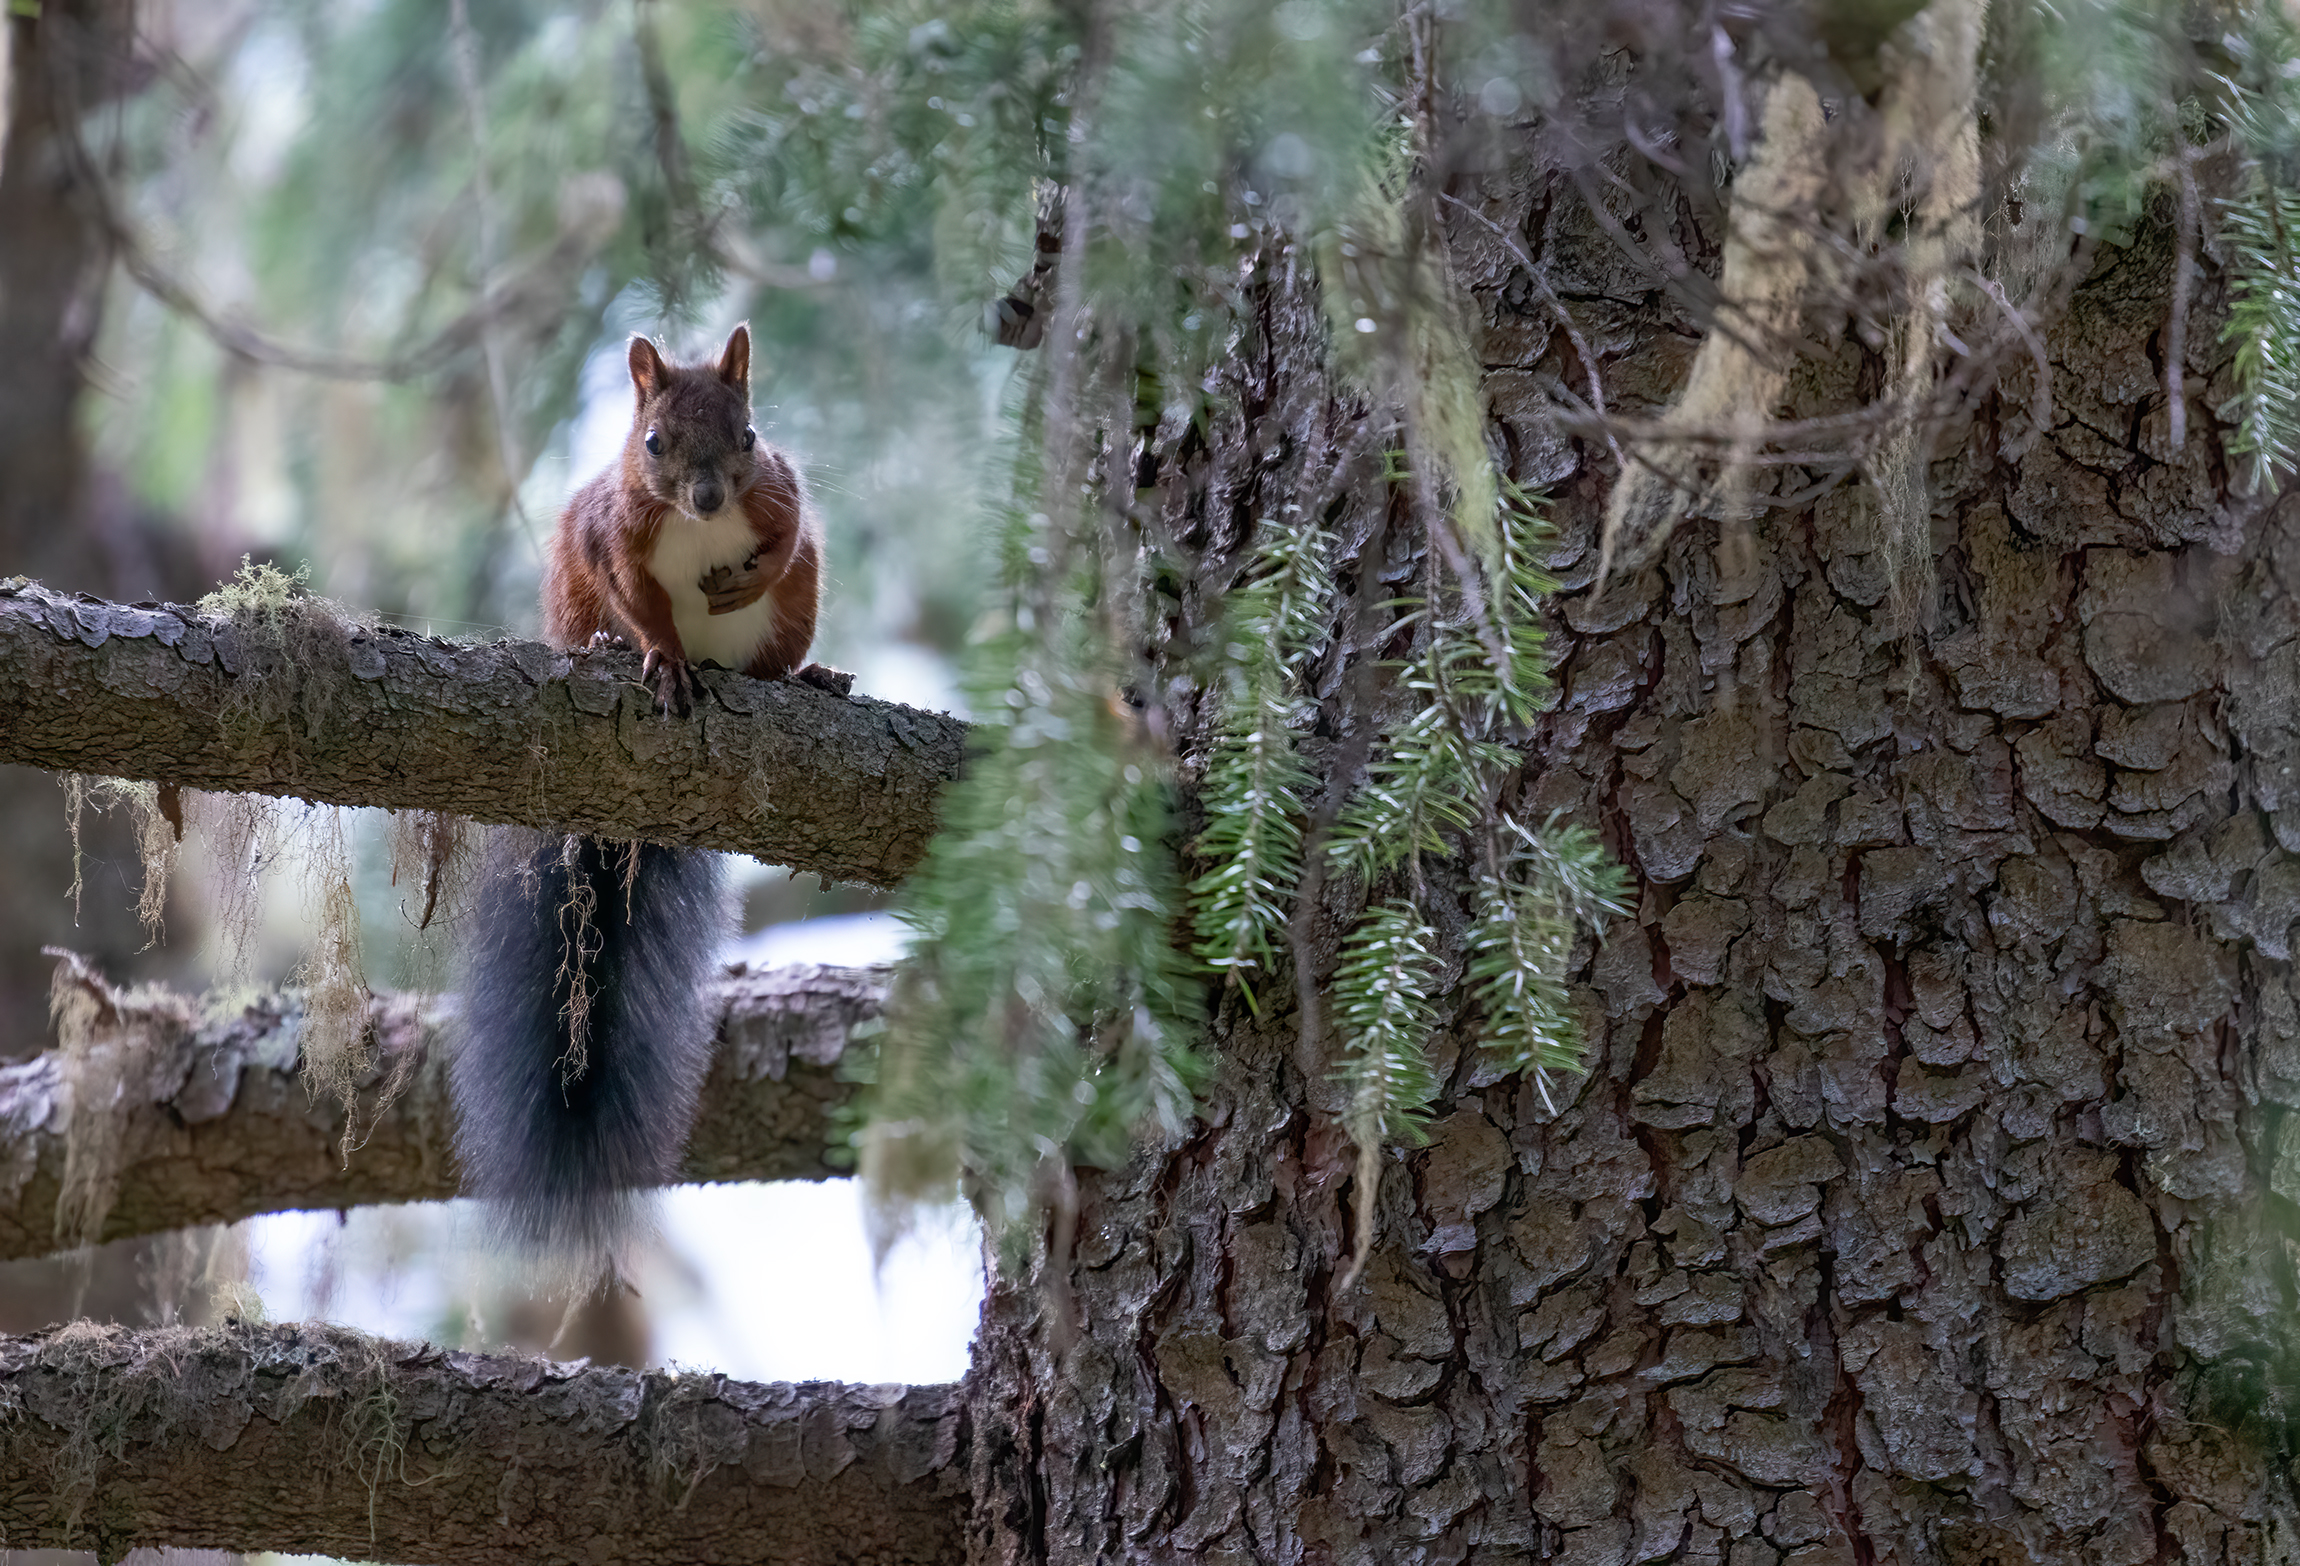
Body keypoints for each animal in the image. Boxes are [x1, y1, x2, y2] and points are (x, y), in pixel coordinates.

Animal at [452, 324, 834, 1271]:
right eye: (653, 441)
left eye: (747, 433)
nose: (706, 496)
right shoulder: (612, 535)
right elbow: (641, 599)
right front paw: (660, 657)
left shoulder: (778, 488)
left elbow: (789, 529)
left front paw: (747, 574)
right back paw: (608, 648)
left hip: (795, 614)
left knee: (784, 631)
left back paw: (811, 677)